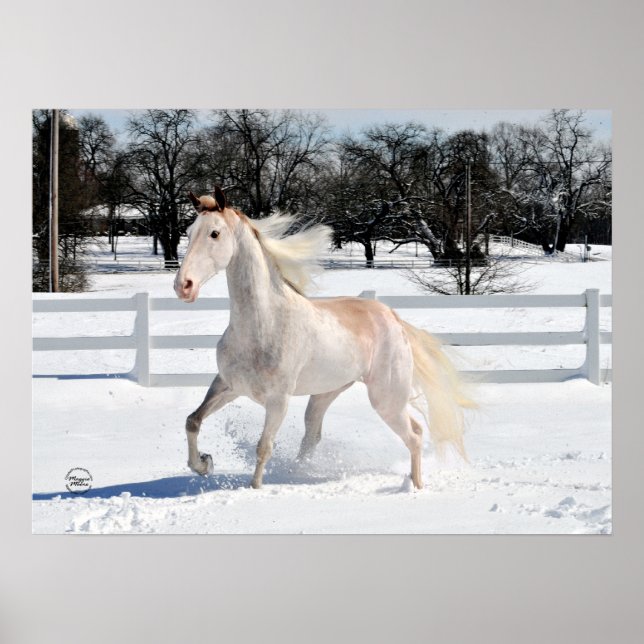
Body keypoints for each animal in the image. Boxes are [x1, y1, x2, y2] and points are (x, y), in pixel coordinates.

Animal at [174, 187, 475, 489]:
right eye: (189, 231)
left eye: (215, 233)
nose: (183, 286)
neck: (262, 325)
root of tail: (393, 318)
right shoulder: (228, 385)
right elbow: (192, 421)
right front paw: (204, 464)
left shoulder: (278, 400)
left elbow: (264, 448)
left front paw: (253, 487)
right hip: (325, 394)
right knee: (314, 437)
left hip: (387, 399)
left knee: (414, 436)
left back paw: (415, 487)